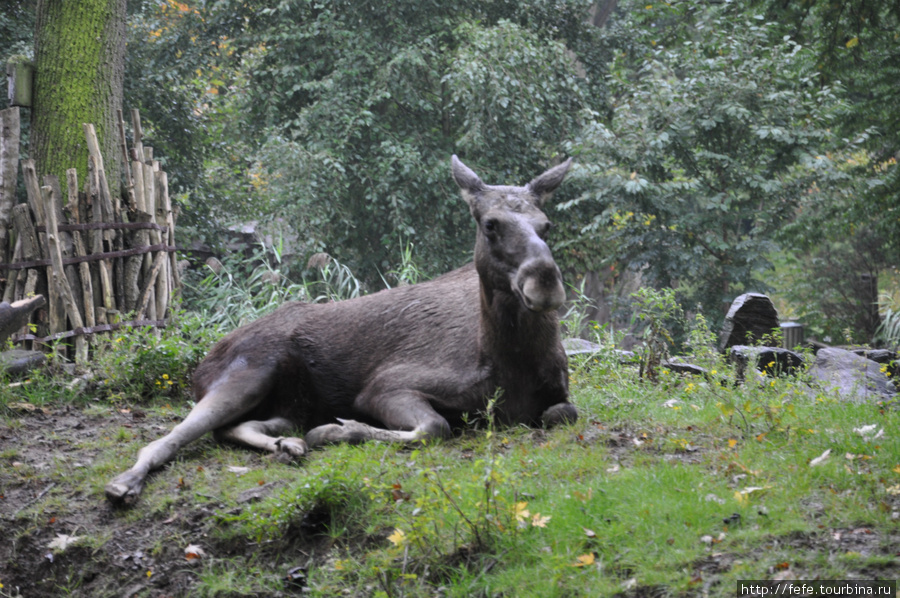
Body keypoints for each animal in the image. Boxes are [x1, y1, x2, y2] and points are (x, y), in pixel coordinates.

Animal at [105, 155, 572, 506]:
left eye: (547, 225)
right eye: (490, 223)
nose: (545, 281)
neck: (507, 361)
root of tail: (205, 363)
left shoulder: (559, 396)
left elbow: (562, 412)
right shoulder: (385, 386)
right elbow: (434, 428)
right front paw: (338, 431)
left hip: (290, 403)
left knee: (235, 429)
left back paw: (287, 445)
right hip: (248, 373)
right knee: (170, 437)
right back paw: (123, 483)